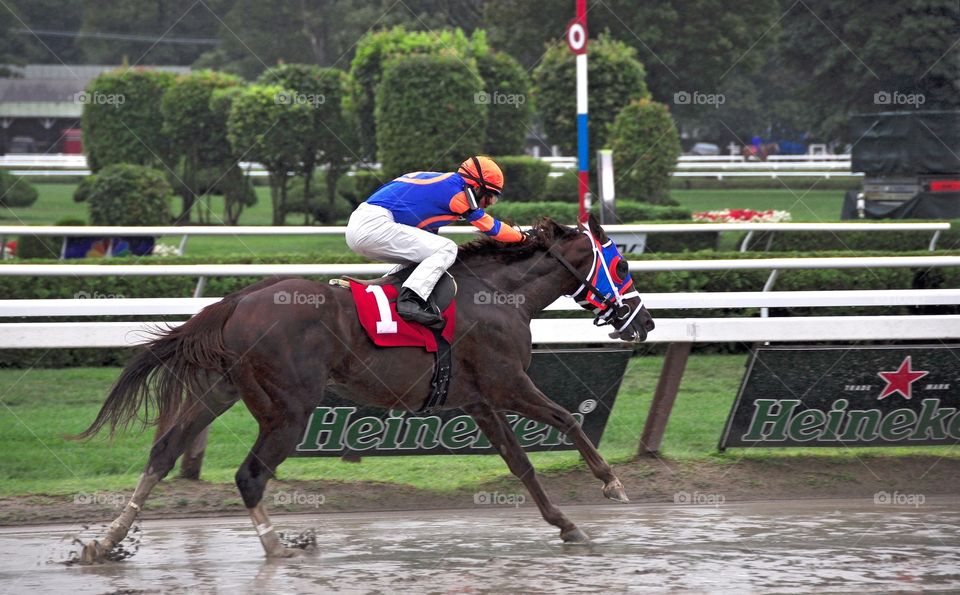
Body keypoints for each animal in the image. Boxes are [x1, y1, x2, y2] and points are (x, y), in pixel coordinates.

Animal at [79, 215, 656, 564]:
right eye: (623, 264)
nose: (645, 322)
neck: (499, 295)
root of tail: (236, 301)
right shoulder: (507, 383)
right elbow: (568, 418)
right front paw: (612, 483)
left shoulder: (479, 399)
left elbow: (522, 465)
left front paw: (566, 525)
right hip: (288, 409)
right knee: (250, 475)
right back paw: (280, 548)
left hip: (220, 391)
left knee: (164, 451)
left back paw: (105, 541)